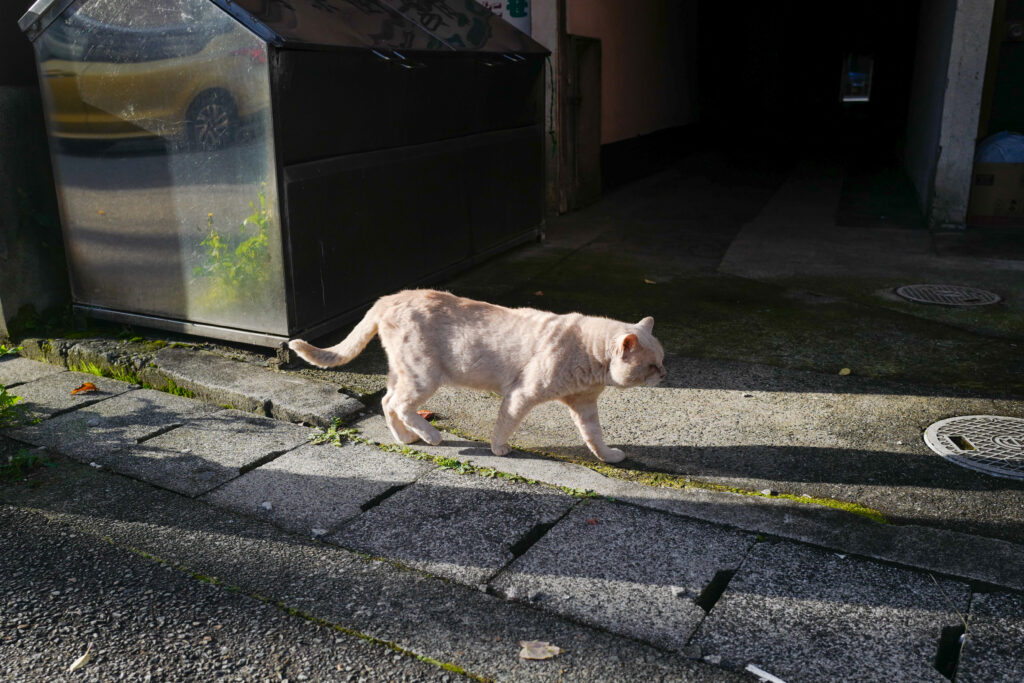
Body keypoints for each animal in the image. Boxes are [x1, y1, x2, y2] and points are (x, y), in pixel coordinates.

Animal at [290, 288, 671, 464]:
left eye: (663, 362)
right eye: (653, 366)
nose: (666, 375)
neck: (588, 354)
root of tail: (389, 297)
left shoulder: (585, 405)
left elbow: (594, 437)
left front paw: (608, 457)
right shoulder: (520, 394)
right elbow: (505, 424)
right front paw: (498, 448)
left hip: (406, 372)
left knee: (386, 402)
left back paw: (407, 439)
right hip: (424, 377)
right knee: (399, 405)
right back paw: (430, 436)